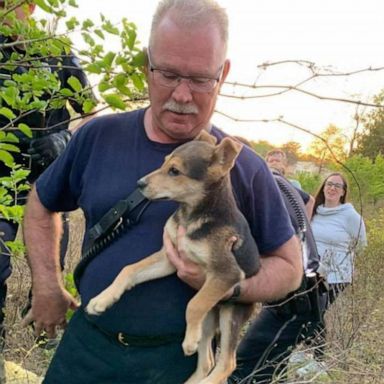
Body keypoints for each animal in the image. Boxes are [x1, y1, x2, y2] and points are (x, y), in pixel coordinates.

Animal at [87, 131, 260, 384]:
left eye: (175, 171)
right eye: (164, 161)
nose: (139, 184)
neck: (193, 216)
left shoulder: (227, 272)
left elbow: (193, 305)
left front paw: (188, 342)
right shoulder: (169, 259)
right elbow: (129, 269)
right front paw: (103, 299)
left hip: (231, 313)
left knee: (227, 363)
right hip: (210, 317)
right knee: (207, 361)